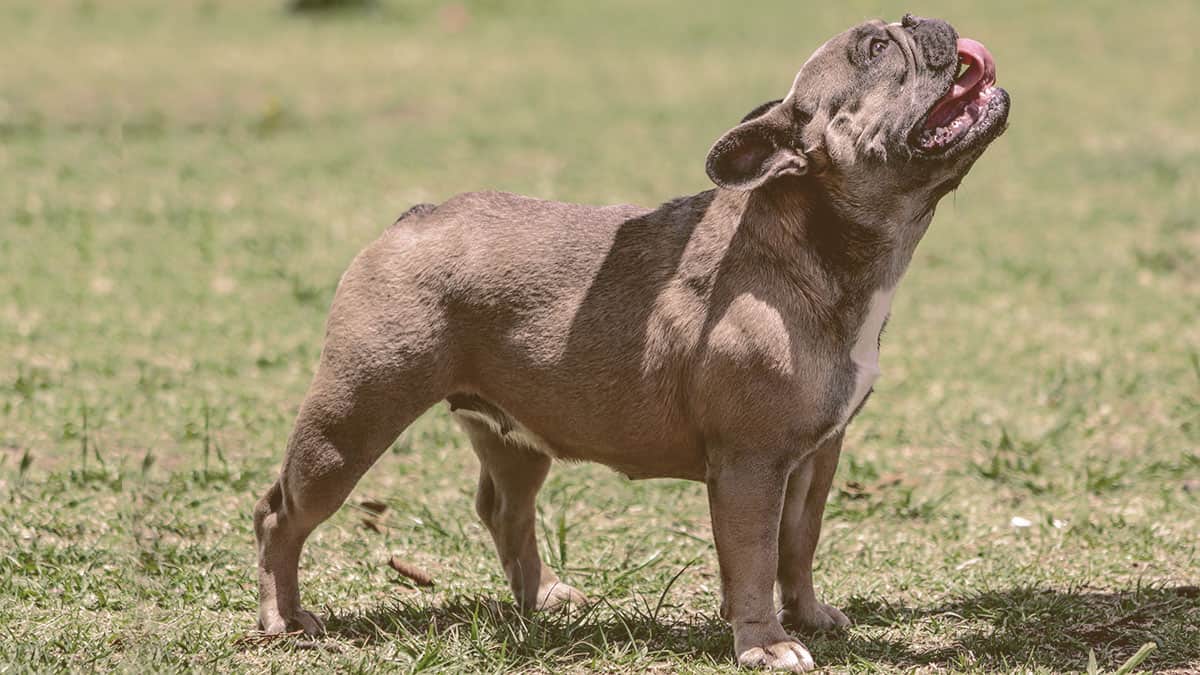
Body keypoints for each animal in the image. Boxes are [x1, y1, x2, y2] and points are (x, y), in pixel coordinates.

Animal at [255, 13, 1012, 667]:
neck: (813, 242)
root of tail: (413, 218)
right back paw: (283, 618)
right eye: (877, 50)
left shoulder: (816, 454)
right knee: (281, 514)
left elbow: (799, 542)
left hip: (512, 434)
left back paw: (545, 597)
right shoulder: (751, 464)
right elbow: (755, 556)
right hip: (351, 419)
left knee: (505, 510)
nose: (925, 21)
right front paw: (766, 642)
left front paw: (809, 614)